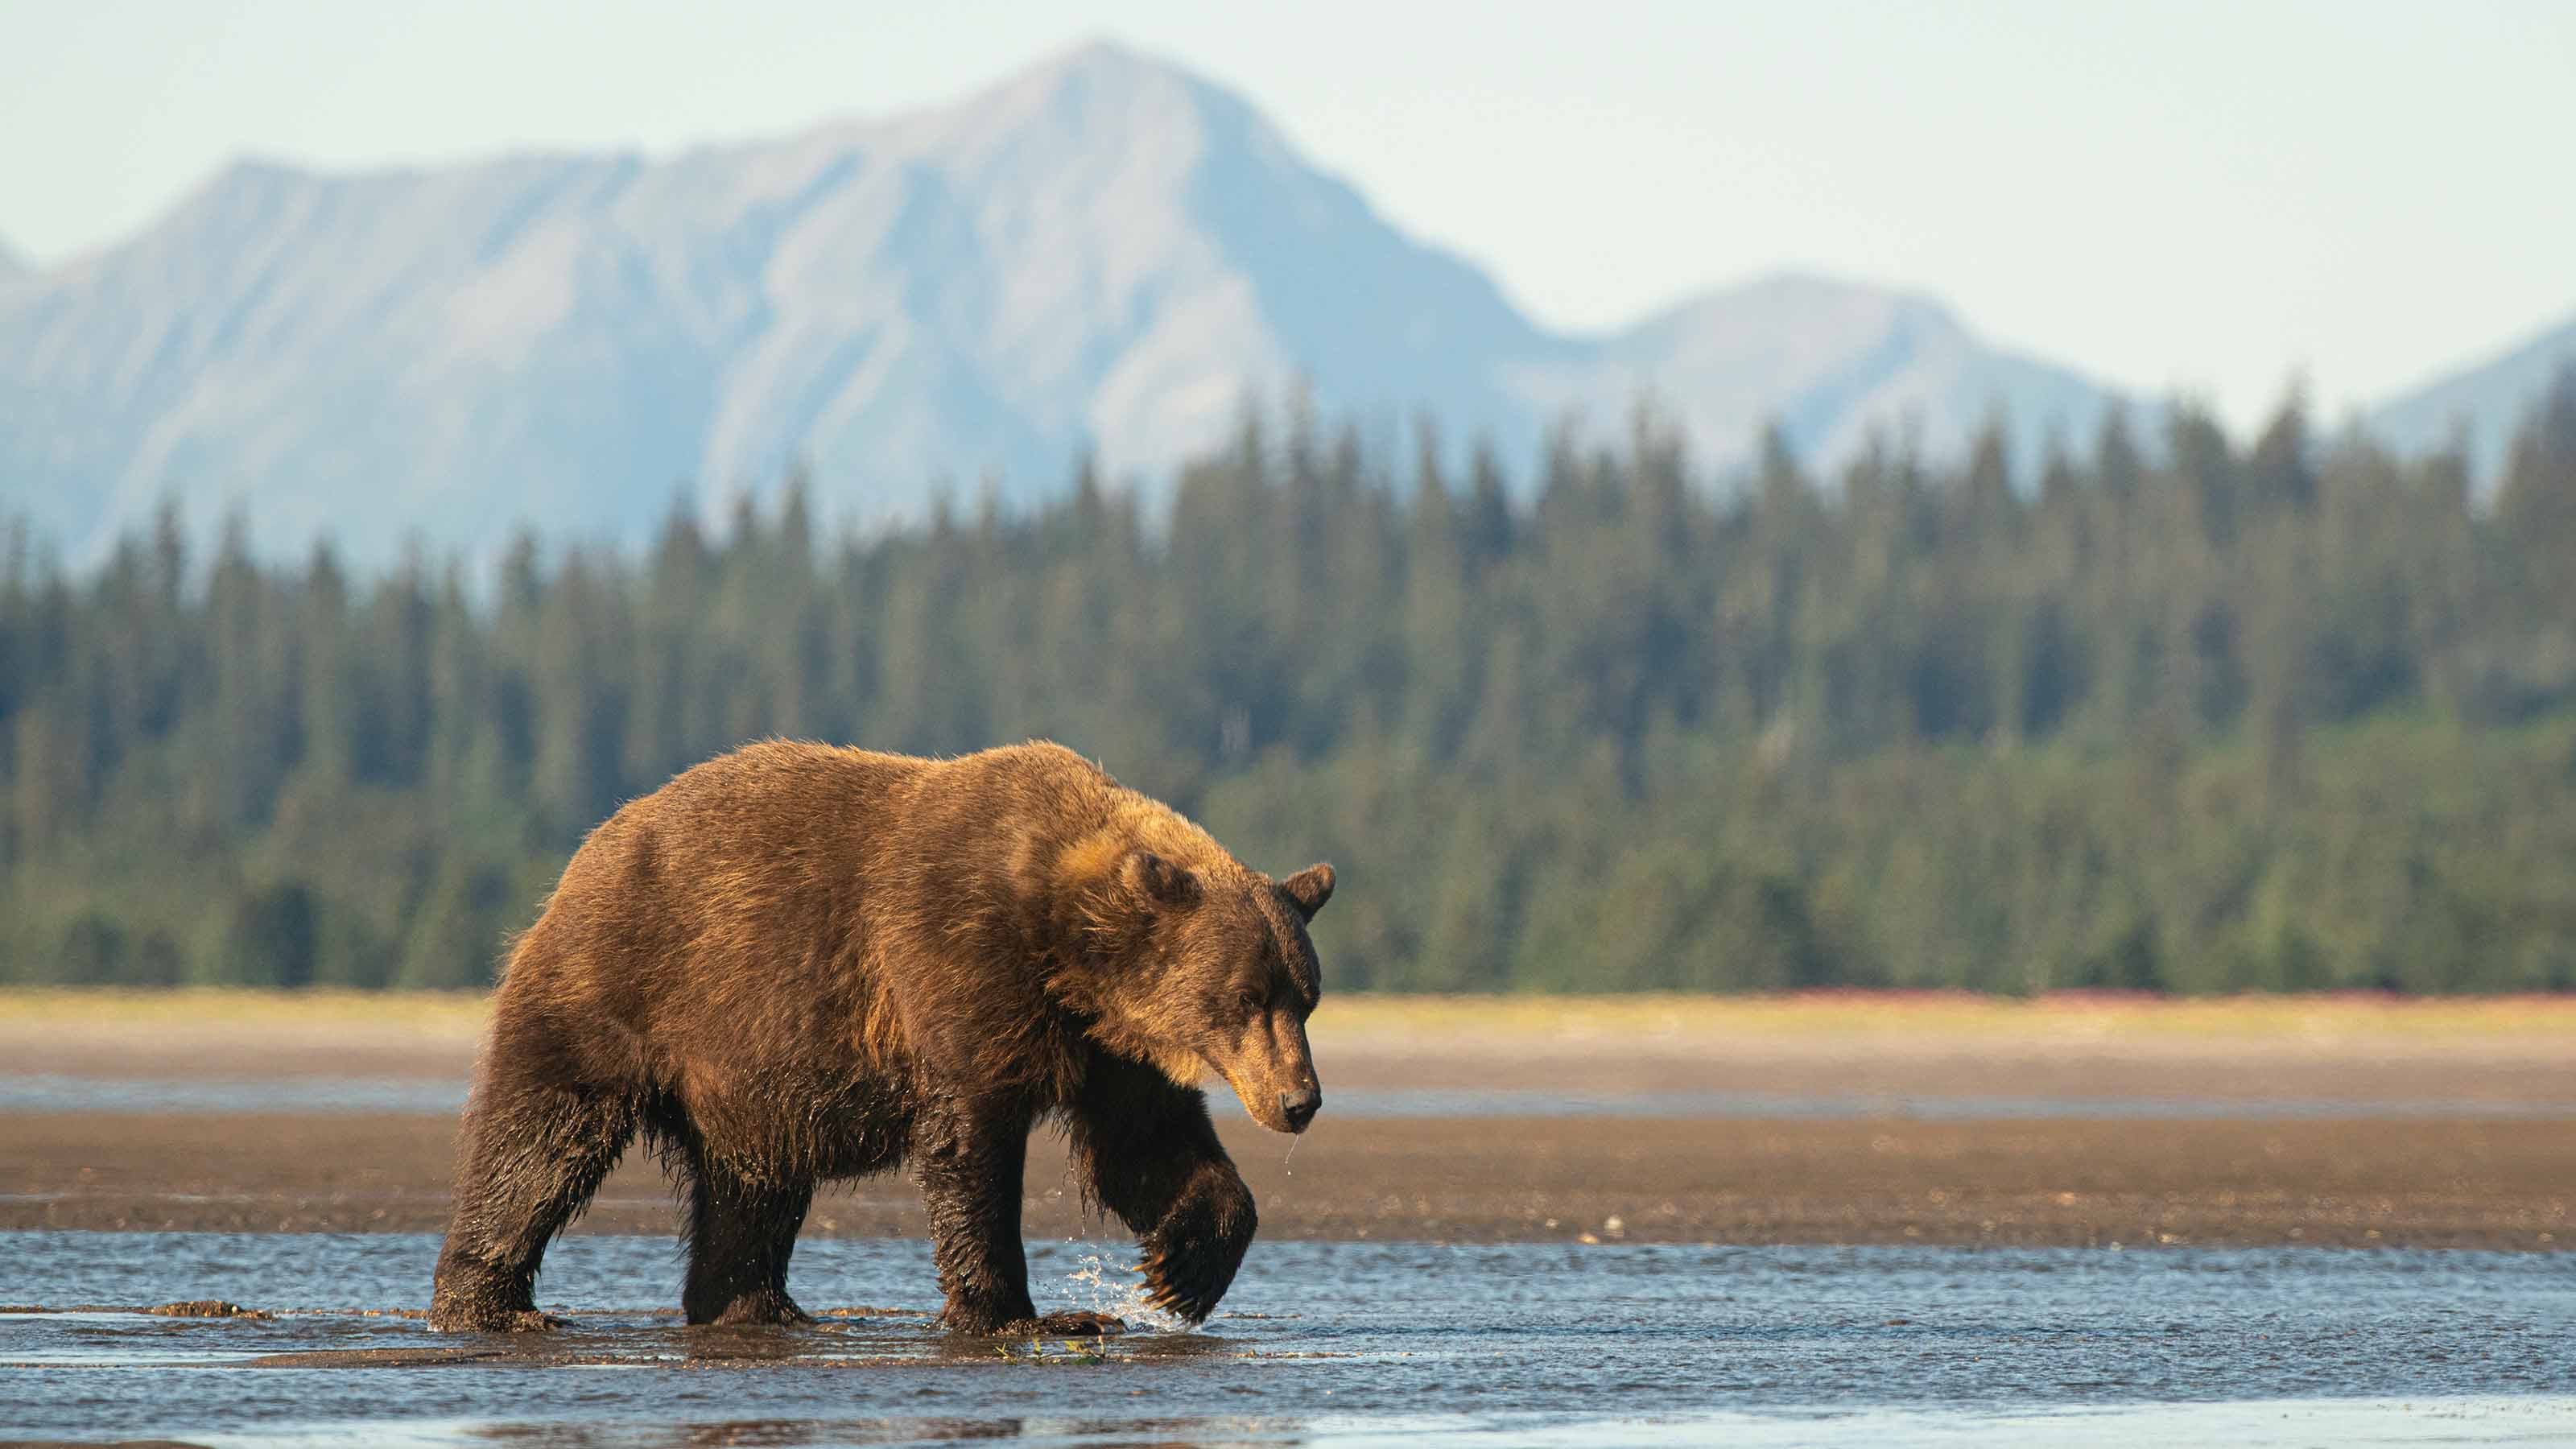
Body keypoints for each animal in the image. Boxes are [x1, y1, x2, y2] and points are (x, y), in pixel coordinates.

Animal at [427, 739, 1332, 1335]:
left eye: (1306, 997)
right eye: (1245, 996)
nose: (1300, 1100)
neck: (1065, 944)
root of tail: (591, 849)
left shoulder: (1107, 1044)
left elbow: (1145, 1147)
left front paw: (1179, 1270)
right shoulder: (957, 963)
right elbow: (970, 1145)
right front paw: (1016, 1312)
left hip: (746, 1076)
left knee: (751, 1188)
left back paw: (756, 1305)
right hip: (623, 988)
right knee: (539, 1141)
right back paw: (490, 1305)